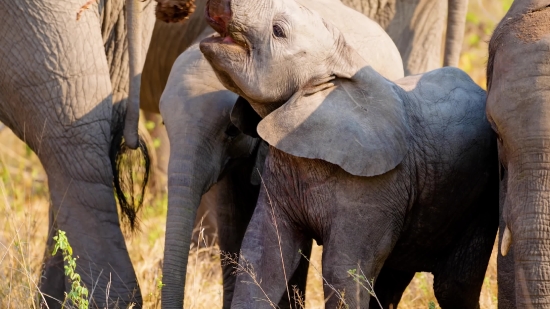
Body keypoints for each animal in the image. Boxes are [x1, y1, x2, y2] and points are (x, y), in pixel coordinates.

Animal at [202, 0, 500, 306]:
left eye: (278, 31)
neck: (341, 65)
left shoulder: (376, 187)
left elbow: (342, 270)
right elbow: (263, 256)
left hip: (480, 203)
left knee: (452, 286)